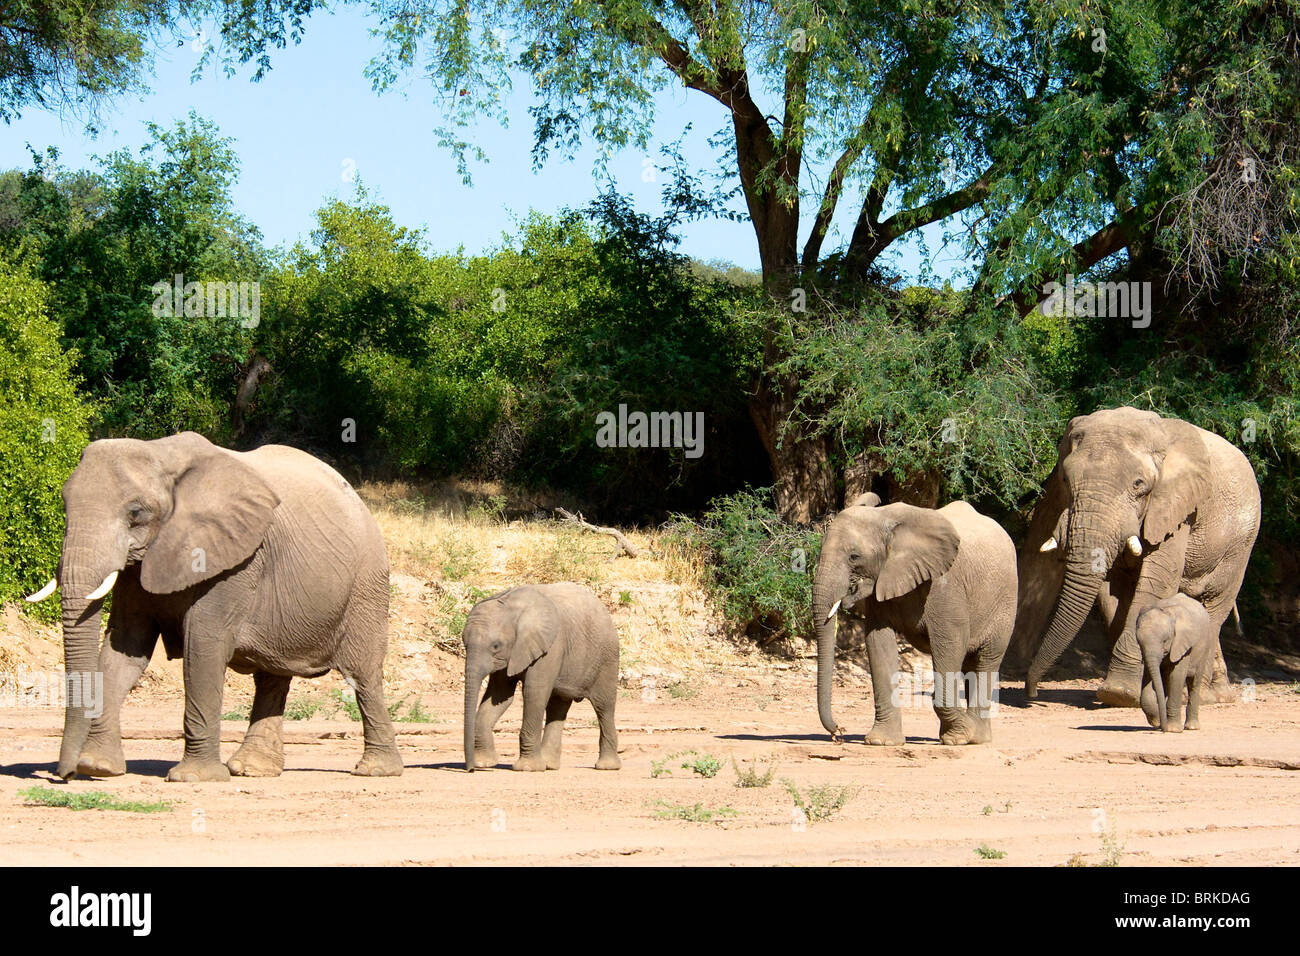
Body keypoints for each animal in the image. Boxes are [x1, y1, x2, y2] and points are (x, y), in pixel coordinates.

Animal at [24, 429, 400, 780]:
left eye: (136, 513)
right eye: (64, 504)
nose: (64, 774)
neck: (161, 453)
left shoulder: (236, 561)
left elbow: (202, 646)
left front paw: (193, 777)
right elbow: (124, 648)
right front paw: (98, 767)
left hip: (366, 584)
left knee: (362, 675)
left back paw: (376, 770)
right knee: (272, 677)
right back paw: (251, 770)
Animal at [460, 582, 621, 770]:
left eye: (496, 646)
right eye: (464, 643)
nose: (470, 769)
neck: (510, 605)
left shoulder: (551, 647)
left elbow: (534, 693)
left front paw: (527, 768)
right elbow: (499, 696)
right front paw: (484, 763)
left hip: (607, 657)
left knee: (604, 707)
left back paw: (607, 766)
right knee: (557, 707)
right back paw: (549, 765)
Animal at [811, 494, 1013, 749]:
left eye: (854, 557)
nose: (838, 732)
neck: (884, 517)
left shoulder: (945, 585)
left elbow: (950, 643)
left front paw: (959, 736)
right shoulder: (882, 581)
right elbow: (878, 643)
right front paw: (882, 742)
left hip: (1004, 604)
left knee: (985, 660)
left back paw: (974, 738)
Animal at [1013, 408, 1258, 707]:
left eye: (1139, 485)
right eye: (1066, 481)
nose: (1032, 693)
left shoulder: (1176, 509)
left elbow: (1156, 584)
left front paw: (1118, 694)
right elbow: (1114, 594)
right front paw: (1129, 692)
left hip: (1240, 545)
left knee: (1214, 606)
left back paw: (1200, 697)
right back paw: (1210, 694)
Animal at [1138, 595, 1216, 738]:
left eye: (1165, 640)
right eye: (1139, 642)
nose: (1162, 730)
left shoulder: (1182, 644)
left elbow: (1177, 676)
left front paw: (1173, 729)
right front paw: (1157, 721)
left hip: (1205, 645)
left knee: (1194, 683)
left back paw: (1191, 727)